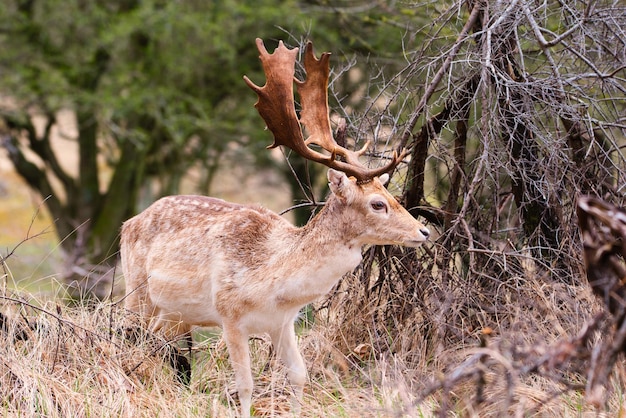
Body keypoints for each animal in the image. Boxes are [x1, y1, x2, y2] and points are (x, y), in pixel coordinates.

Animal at [119, 37, 426, 416]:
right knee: (128, 338)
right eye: (377, 203)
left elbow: (299, 375)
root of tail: (128, 222)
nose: (424, 231)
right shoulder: (230, 316)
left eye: (389, 193)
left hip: (173, 314)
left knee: (162, 349)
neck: (273, 282)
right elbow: (245, 385)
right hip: (136, 290)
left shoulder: (283, 323)